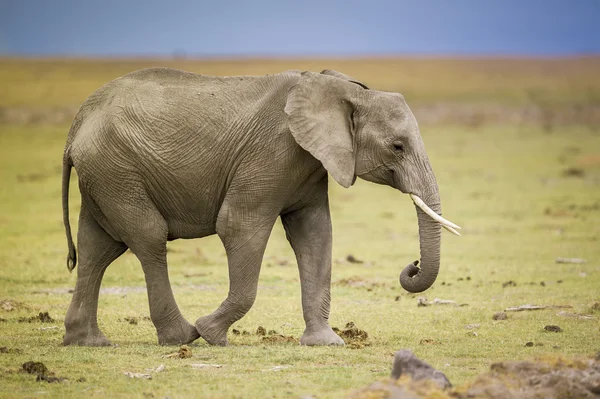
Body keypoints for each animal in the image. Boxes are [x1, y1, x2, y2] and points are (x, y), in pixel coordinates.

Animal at [62, 68, 460, 346]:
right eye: (397, 147)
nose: (412, 265)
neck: (344, 91)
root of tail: (76, 123)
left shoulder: (310, 163)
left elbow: (315, 235)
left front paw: (325, 342)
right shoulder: (271, 153)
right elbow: (238, 225)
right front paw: (211, 334)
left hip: (105, 175)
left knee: (97, 248)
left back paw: (88, 342)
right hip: (117, 170)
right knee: (148, 239)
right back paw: (183, 336)